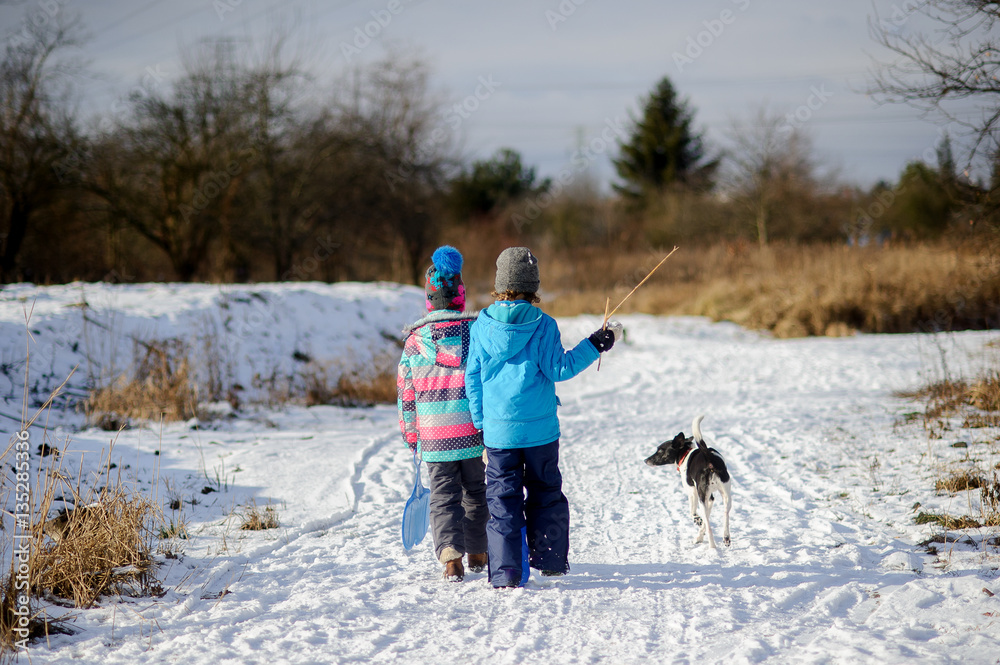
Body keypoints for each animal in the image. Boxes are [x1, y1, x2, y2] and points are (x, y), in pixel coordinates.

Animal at [644, 416, 732, 548]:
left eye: (660, 450)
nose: (645, 460)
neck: (685, 454)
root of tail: (709, 459)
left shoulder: (693, 493)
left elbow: (693, 513)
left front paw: (698, 522)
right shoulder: (710, 499)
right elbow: (705, 520)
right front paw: (699, 536)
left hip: (702, 497)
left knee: (709, 528)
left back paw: (712, 548)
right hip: (726, 496)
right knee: (725, 516)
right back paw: (726, 538)